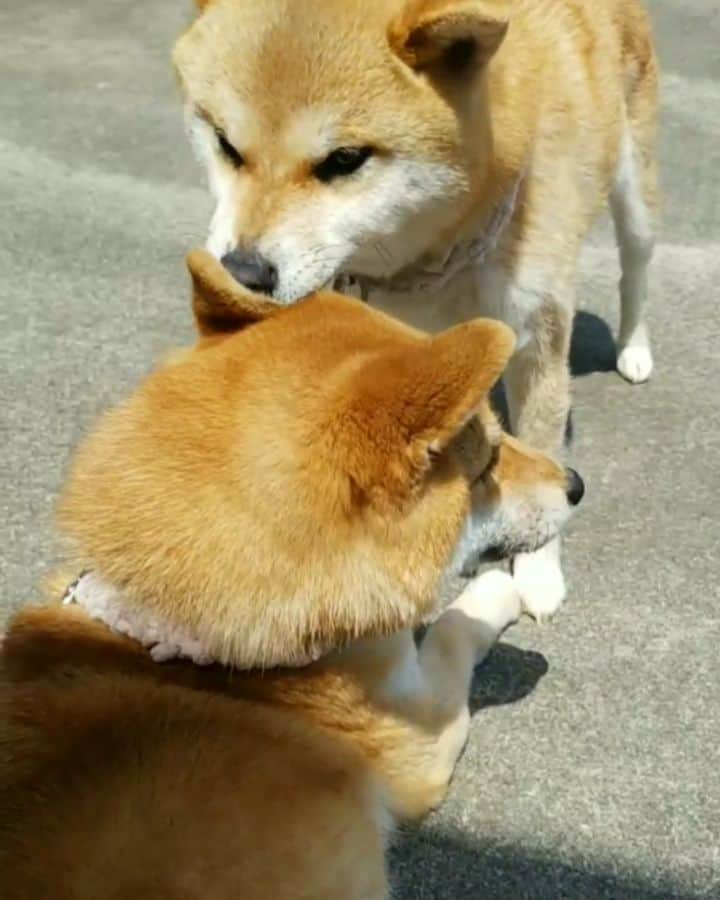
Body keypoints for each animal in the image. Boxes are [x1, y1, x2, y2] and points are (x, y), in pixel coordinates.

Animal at [174, 0, 660, 620]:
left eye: (345, 159)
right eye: (226, 145)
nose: (241, 273)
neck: (422, 263)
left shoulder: (540, 333)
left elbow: (543, 444)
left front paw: (538, 570)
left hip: (636, 191)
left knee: (636, 271)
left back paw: (634, 349)